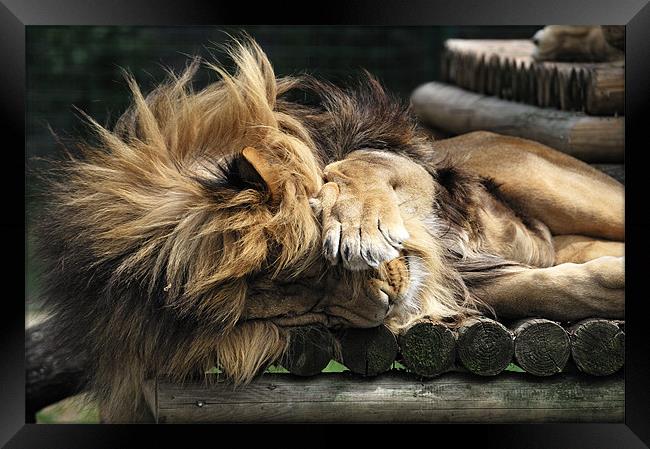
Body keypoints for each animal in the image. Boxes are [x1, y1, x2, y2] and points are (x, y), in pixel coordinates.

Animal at [35, 37, 624, 420]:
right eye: (315, 315)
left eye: (323, 259)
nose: (387, 303)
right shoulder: (477, 281)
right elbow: (550, 288)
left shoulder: (408, 170)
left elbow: (356, 166)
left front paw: (358, 224)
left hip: (535, 174)